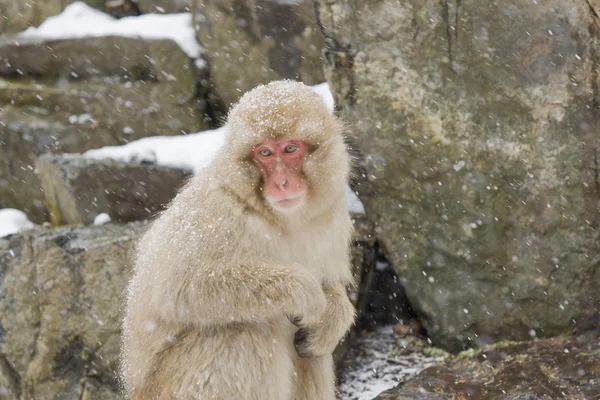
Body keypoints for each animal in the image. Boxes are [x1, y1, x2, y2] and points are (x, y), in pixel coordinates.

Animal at [122, 79, 356, 398]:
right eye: (264, 153)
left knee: (310, 353)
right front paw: (305, 292)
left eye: (290, 149)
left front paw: (334, 317)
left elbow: (331, 285)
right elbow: (178, 289)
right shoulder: (214, 213)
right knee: (243, 329)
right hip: (169, 388)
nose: (282, 182)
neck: (281, 220)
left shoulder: (333, 220)